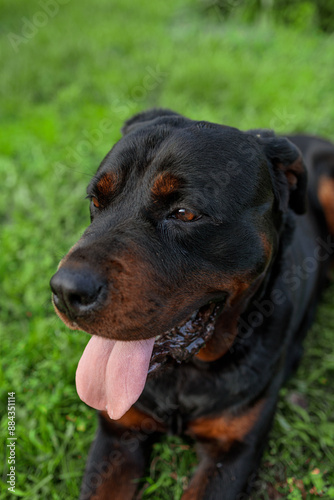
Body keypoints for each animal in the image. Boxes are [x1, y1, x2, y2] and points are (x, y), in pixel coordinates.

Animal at [50, 110, 334, 500]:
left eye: (184, 213)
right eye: (96, 200)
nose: (65, 291)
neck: (184, 376)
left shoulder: (233, 451)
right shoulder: (117, 433)